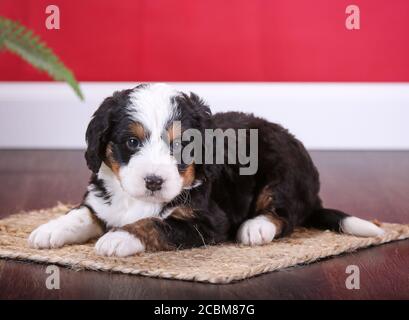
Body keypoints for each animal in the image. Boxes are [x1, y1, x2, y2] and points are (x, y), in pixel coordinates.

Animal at [27, 83, 382, 258]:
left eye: (183, 144)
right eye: (131, 141)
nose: (153, 181)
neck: (137, 201)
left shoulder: (208, 221)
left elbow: (155, 224)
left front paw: (119, 238)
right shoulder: (102, 200)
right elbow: (80, 214)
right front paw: (49, 229)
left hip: (282, 171)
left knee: (284, 214)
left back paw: (256, 227)